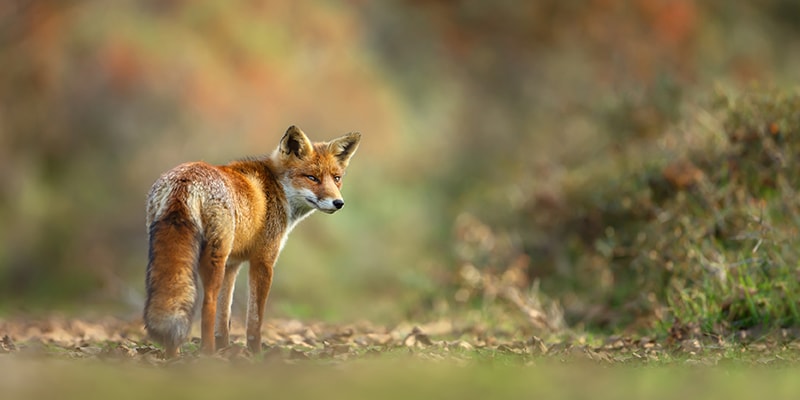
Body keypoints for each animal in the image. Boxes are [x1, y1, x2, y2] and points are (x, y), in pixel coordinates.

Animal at [142, 126, 360, 360]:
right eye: (312, 177)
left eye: (336, 178)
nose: (338, 203)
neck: (277, 188)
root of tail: (186, 178)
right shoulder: (263, 261)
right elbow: (255, 319)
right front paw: (255, 354)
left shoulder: (232, 265)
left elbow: (224, 318)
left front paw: (225, 348)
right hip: (214, 259)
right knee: (207, 305)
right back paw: (207, 354)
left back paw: (174, 355)